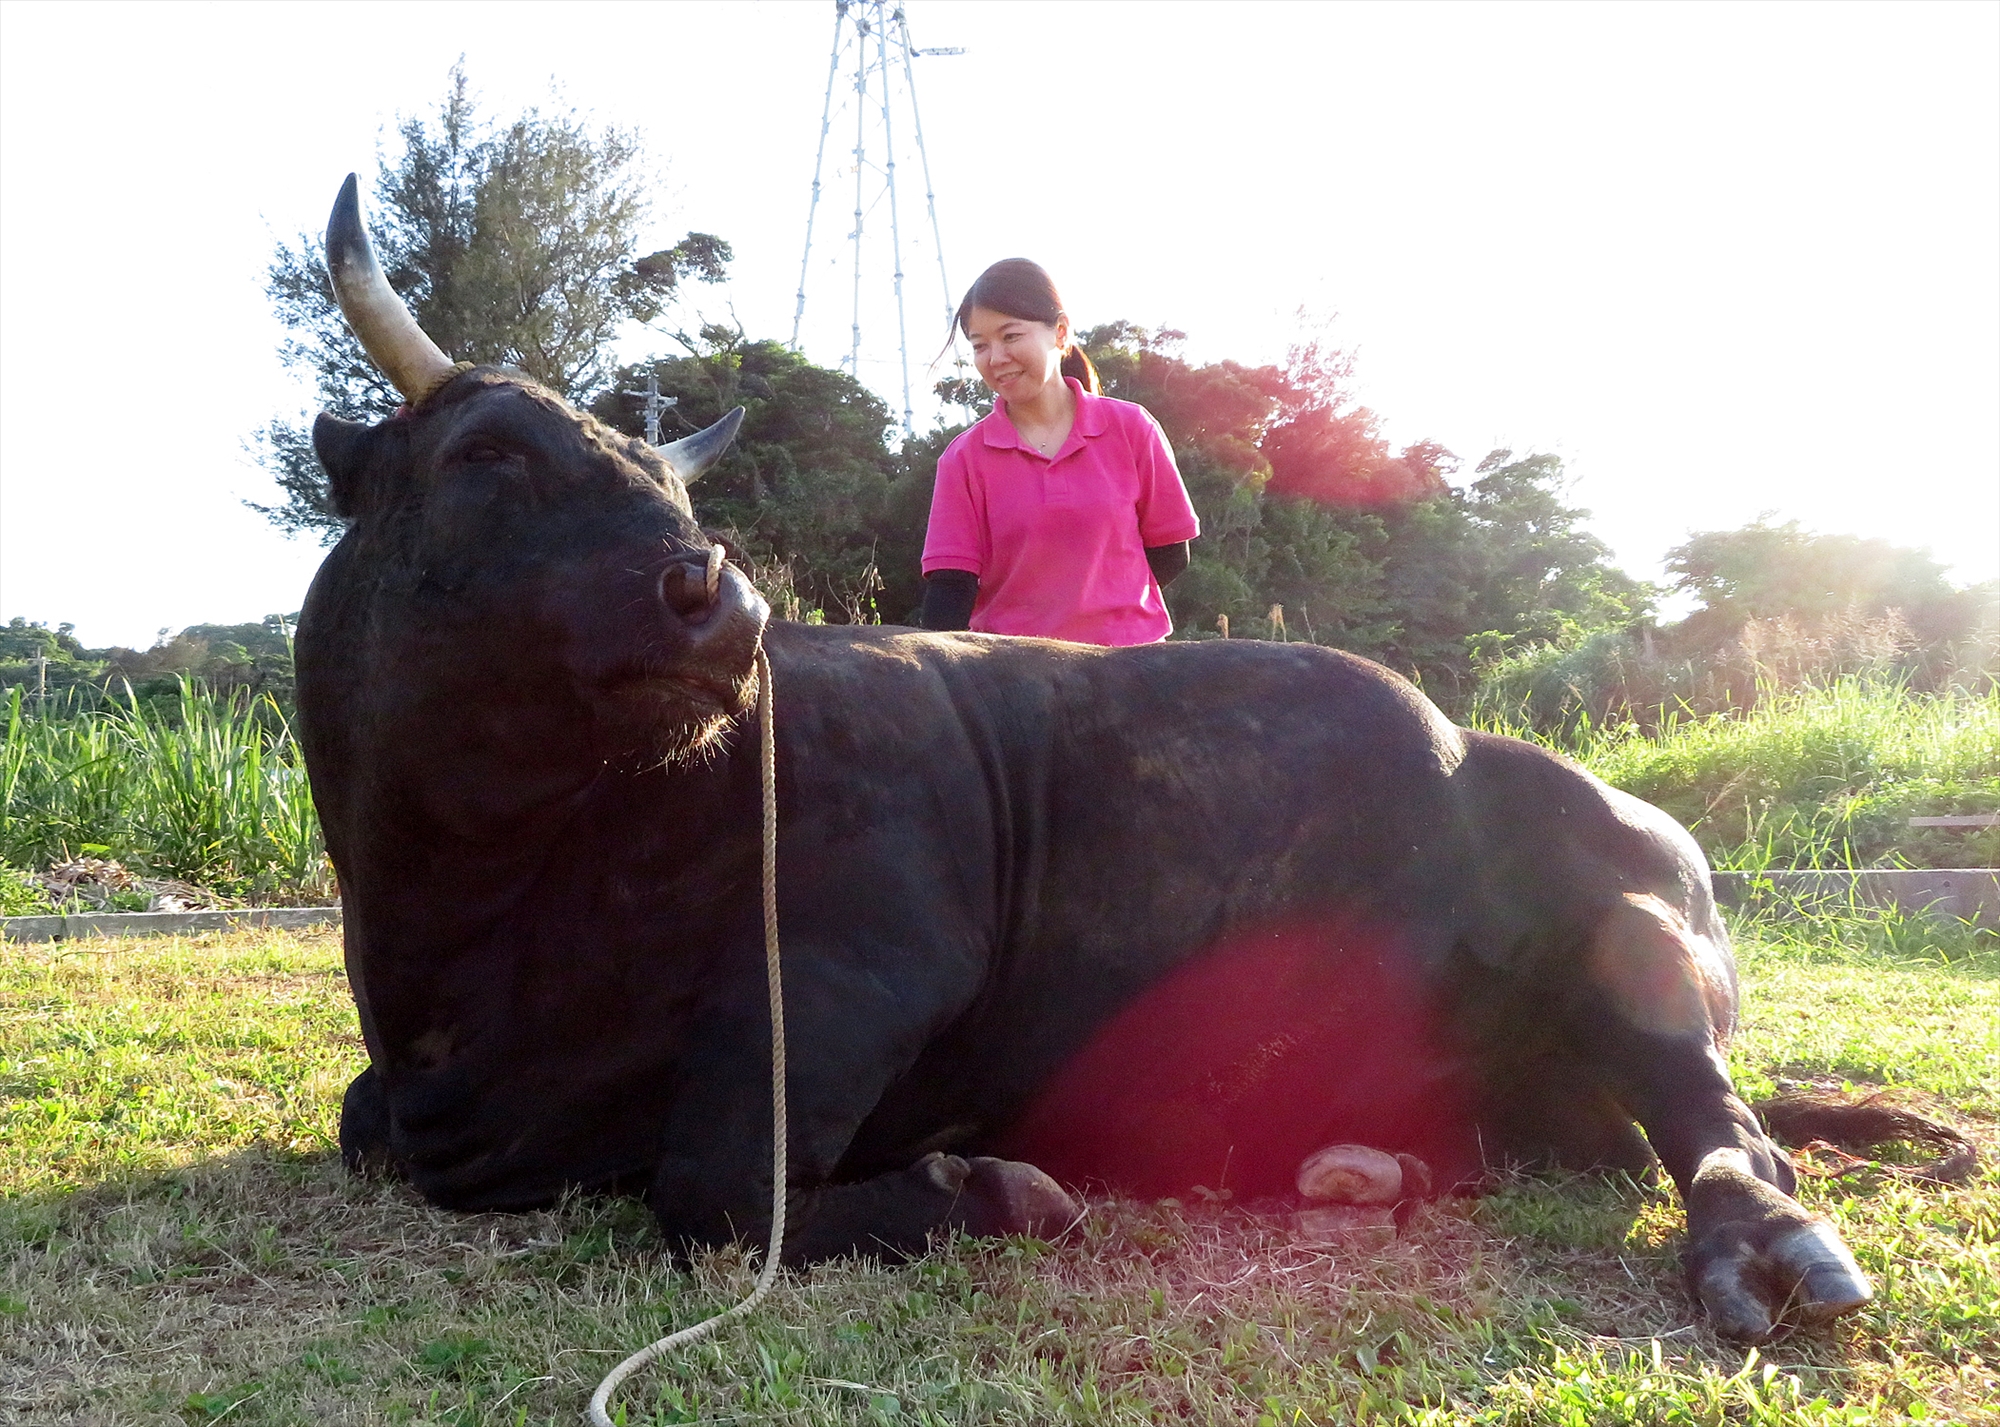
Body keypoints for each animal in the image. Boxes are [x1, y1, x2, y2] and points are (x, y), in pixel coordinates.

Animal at [300, 363, 1872, 1335]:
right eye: (486, 453)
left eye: (671, 488)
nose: (716, 594)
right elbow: (368, 1123)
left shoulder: (860, 963)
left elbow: (715, 1186)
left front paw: (995, 1183)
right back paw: (1364, 1168)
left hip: (1636, 935)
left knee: (1728, 1132)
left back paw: (1760, 1243)